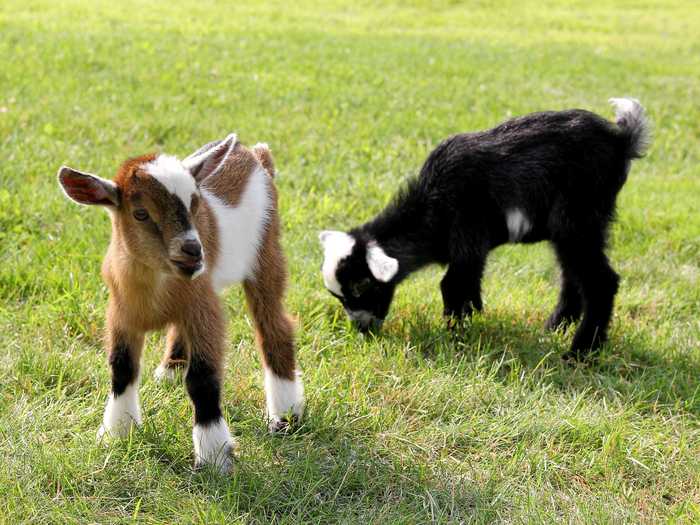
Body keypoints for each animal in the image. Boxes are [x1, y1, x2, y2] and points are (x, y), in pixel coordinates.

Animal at [322, 98, 652, 358]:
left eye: (362, 285)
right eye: (339, 297)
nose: (361, 328)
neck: (432, 208)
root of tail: (621, 140)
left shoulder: (467, 234)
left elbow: (452, 285)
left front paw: (455, 335)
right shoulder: (473, 250)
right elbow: (471, 284)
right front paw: (473, 320)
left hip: (578, 218)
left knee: (600, 281)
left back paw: (580, 352)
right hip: (575, 227)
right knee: (572, 275)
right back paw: (555, 327)